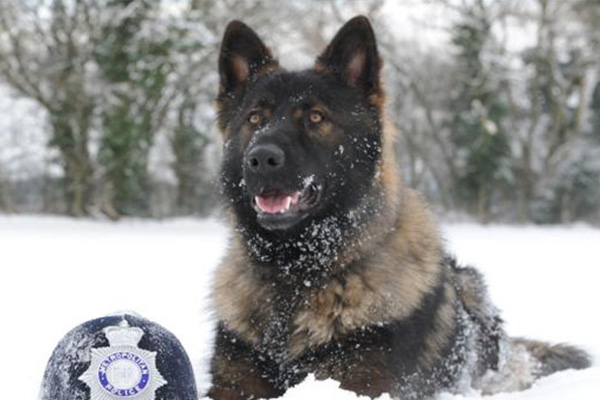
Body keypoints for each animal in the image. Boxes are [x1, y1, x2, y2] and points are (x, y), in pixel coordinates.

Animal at [207, 16, 592, 400]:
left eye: (315, 117)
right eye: (254, 118)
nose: (261, 159)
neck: (295, 276)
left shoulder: (359, 378)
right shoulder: (233, 380)